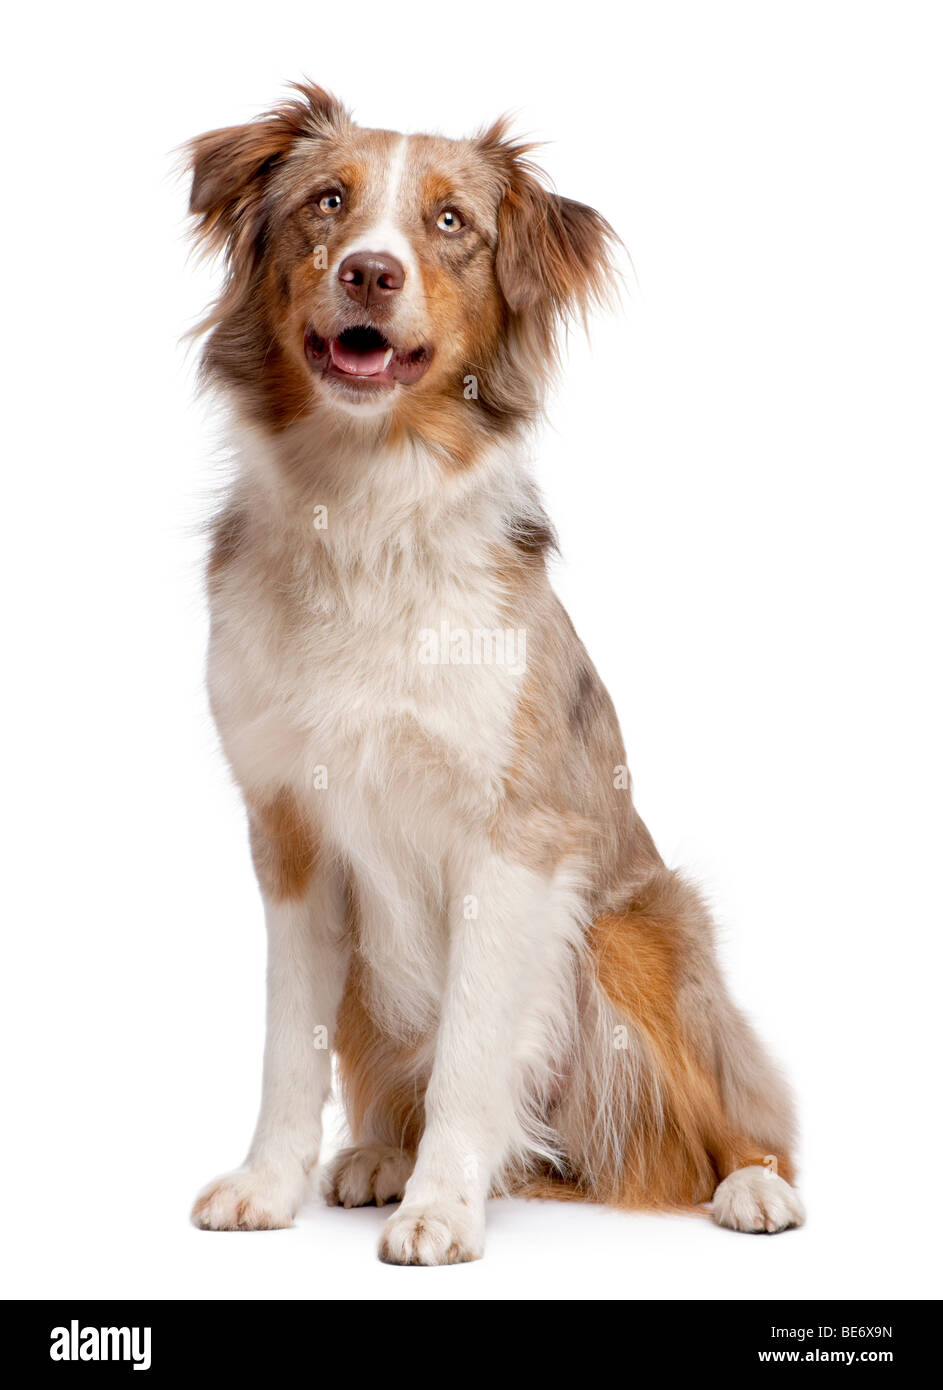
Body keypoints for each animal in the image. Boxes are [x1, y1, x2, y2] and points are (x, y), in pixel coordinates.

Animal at [184, 81, 806, 1267]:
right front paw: (267, 1185)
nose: (369, 273)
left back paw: (753, 1186)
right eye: (328, 202)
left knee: (738, 1111)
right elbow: (289, 1042)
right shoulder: (289, 831)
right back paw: (382, 1155)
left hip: (634, 930)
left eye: (449, 223)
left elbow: (475, 1043)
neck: (365, 508)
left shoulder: (514, 836)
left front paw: (441, 1209)